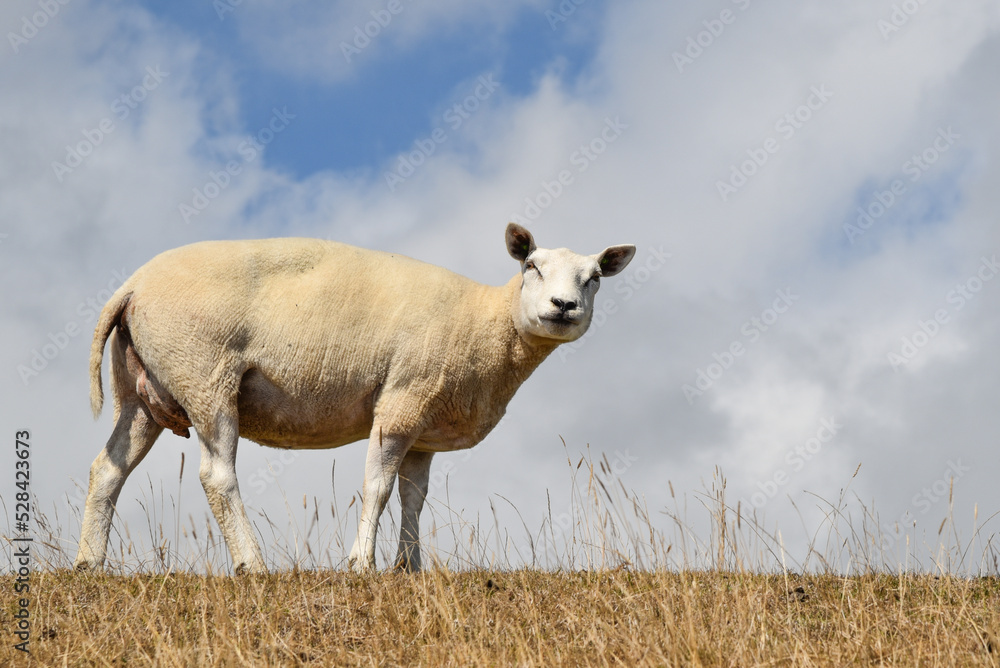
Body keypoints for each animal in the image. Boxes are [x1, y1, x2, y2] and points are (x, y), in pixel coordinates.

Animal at [74, 223, 636, 574]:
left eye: (594, 279)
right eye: (532, 266)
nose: (563, 305)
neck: (485, 324)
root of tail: (131, 286)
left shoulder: (425, 424)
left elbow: (414, 498)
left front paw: (408, 567)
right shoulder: (402, 401)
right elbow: (377, 487)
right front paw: (361, 563)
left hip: (142, 390)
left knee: (108, 468)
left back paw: (89, 563)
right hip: (204, 375)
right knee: (216, 474)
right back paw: (252, 564)